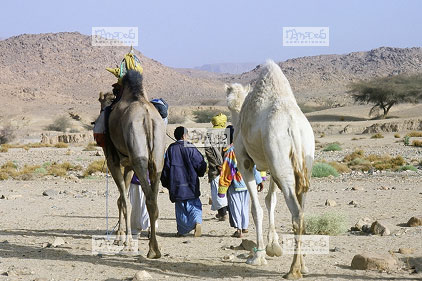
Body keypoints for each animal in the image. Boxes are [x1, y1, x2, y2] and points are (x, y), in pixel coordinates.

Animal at [98, 70, 165, 258]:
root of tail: (147, 117)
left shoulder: (113, 161)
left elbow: (124, 200)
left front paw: (123, 240)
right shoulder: (128, 164)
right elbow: (122, 198)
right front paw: (120, 236)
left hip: (138, 156)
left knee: (147, 198)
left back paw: (150, 249)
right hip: (157, 158)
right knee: (154, 198)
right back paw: (154, 248)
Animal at [226, 59, 314, 278]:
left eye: (228, 103)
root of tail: (293, 126)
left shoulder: (245, 161)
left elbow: (256, 208)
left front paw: (258, 256)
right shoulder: (272, 165)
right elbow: (270, 200)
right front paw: (273, 246)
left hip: (280, 157)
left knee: (296, 213)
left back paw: (293, 270)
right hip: (301, 161)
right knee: (302, 208)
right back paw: (303, 265)